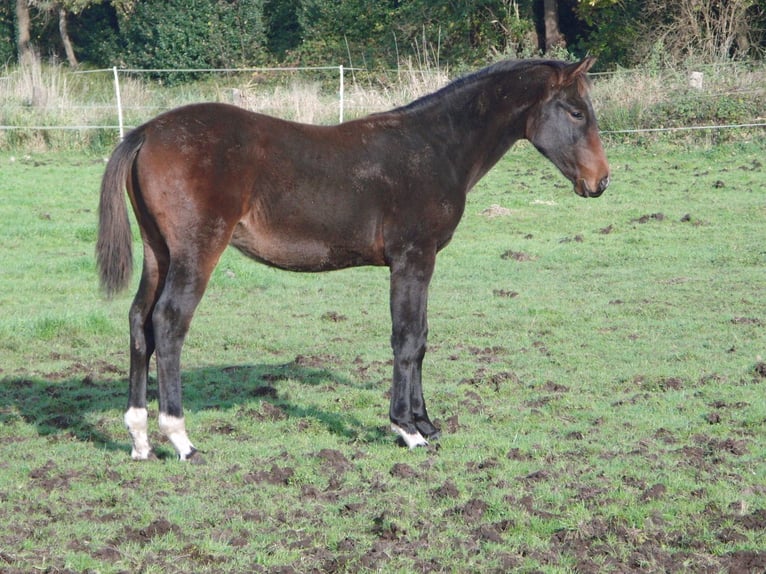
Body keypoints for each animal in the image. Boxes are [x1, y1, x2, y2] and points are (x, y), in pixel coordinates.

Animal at [97, 57, 612, 464]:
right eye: (575, 111)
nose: (601, 181)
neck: (435, 148)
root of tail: (146, 132)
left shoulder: (419, 263)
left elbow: (421, 339)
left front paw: (427, 423)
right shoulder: (412, 259)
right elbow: (407, 339)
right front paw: (407, 429)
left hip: (159, 253)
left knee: (139, 321)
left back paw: (140, 439)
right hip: (196, 252)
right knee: (168, 322)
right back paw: (181, 440)